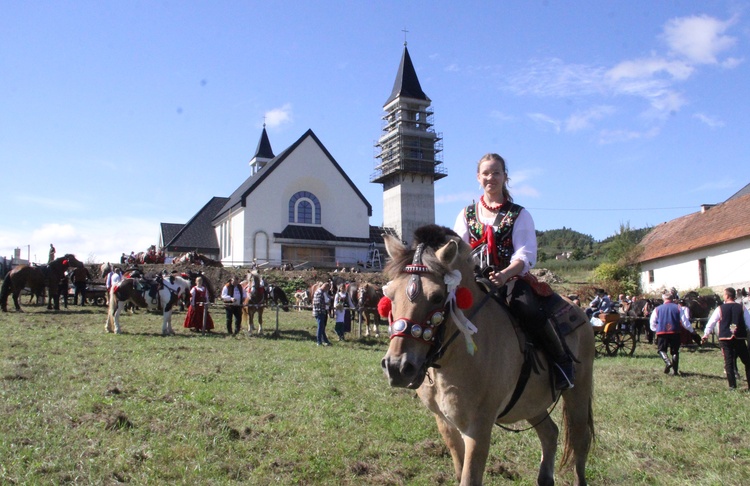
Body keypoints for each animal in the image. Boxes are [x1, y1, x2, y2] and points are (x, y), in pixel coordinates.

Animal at [382, 227, 600, 486]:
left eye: (436, 297)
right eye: (390, 296)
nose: (398, 367)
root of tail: (579, 311)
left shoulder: (478, 429)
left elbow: (470, 478)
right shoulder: (446, 424)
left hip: (578, 391)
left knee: (580, 441)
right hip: (532, 403)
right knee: (550, 432)